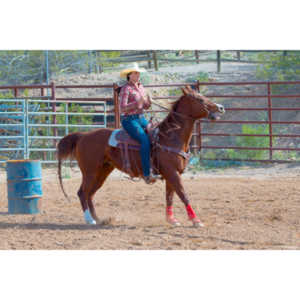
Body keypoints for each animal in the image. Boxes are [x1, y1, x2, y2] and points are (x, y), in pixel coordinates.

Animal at [56, 86, 225, 227]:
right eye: (200, 99)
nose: (221, 107)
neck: (170, 137)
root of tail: (83, 136)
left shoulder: (171, 173)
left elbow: (170, 197)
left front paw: (171, 219)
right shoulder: (171, 172)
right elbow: (183, 194)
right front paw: (196, 220)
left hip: (102, 171)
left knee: (90, 193)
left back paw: (98, 219)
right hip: (89, 171)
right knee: (82, 192)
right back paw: (89, 220)